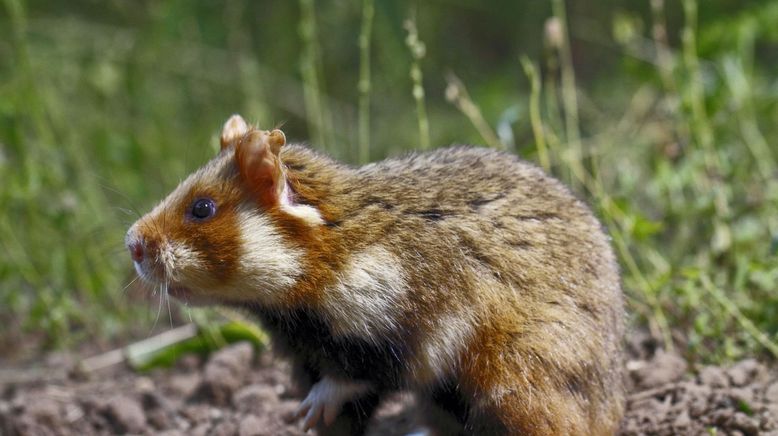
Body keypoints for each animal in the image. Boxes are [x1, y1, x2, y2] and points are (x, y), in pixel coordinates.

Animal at [127, 114, 624, 434]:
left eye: (202, 208)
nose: (130, 243)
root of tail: (613, 401)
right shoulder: (307, 357)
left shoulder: (405, 331)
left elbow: (350, 379)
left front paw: (309, 410)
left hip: (513, 381)